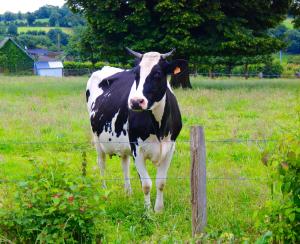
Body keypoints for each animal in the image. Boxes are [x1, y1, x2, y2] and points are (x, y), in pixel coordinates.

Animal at [86, 48, 184, 212]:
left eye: (157, 73)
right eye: (136, 74)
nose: (136, 101)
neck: (159, 128)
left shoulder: (170, 148)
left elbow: (161, 182)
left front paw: (159, 210)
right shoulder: (137, 149)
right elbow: (146, 184)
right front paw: (148, 212)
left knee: (124, 164)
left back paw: (128, 193)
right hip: (97, 139)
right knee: (102, 164)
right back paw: (104, 192)